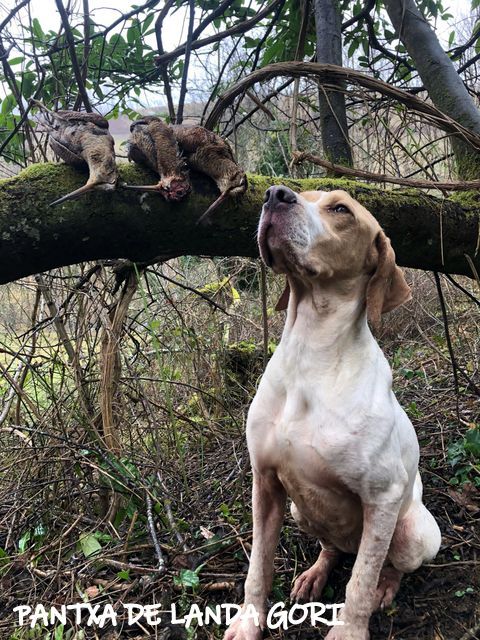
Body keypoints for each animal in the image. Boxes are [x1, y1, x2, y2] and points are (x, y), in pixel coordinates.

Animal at [223, 182, 440, 636]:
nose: (275, 194)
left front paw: (349, 631)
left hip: (413, 533)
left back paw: (385, 587)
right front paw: (249, 622)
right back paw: (315, 573)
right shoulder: (265, 482)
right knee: (332, 547)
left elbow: (360, 582)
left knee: (386, 565)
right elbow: (258, 567)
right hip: (298, 509)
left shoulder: (382, 496)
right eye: (302, 193)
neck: (311, 353)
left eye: (341, 210)